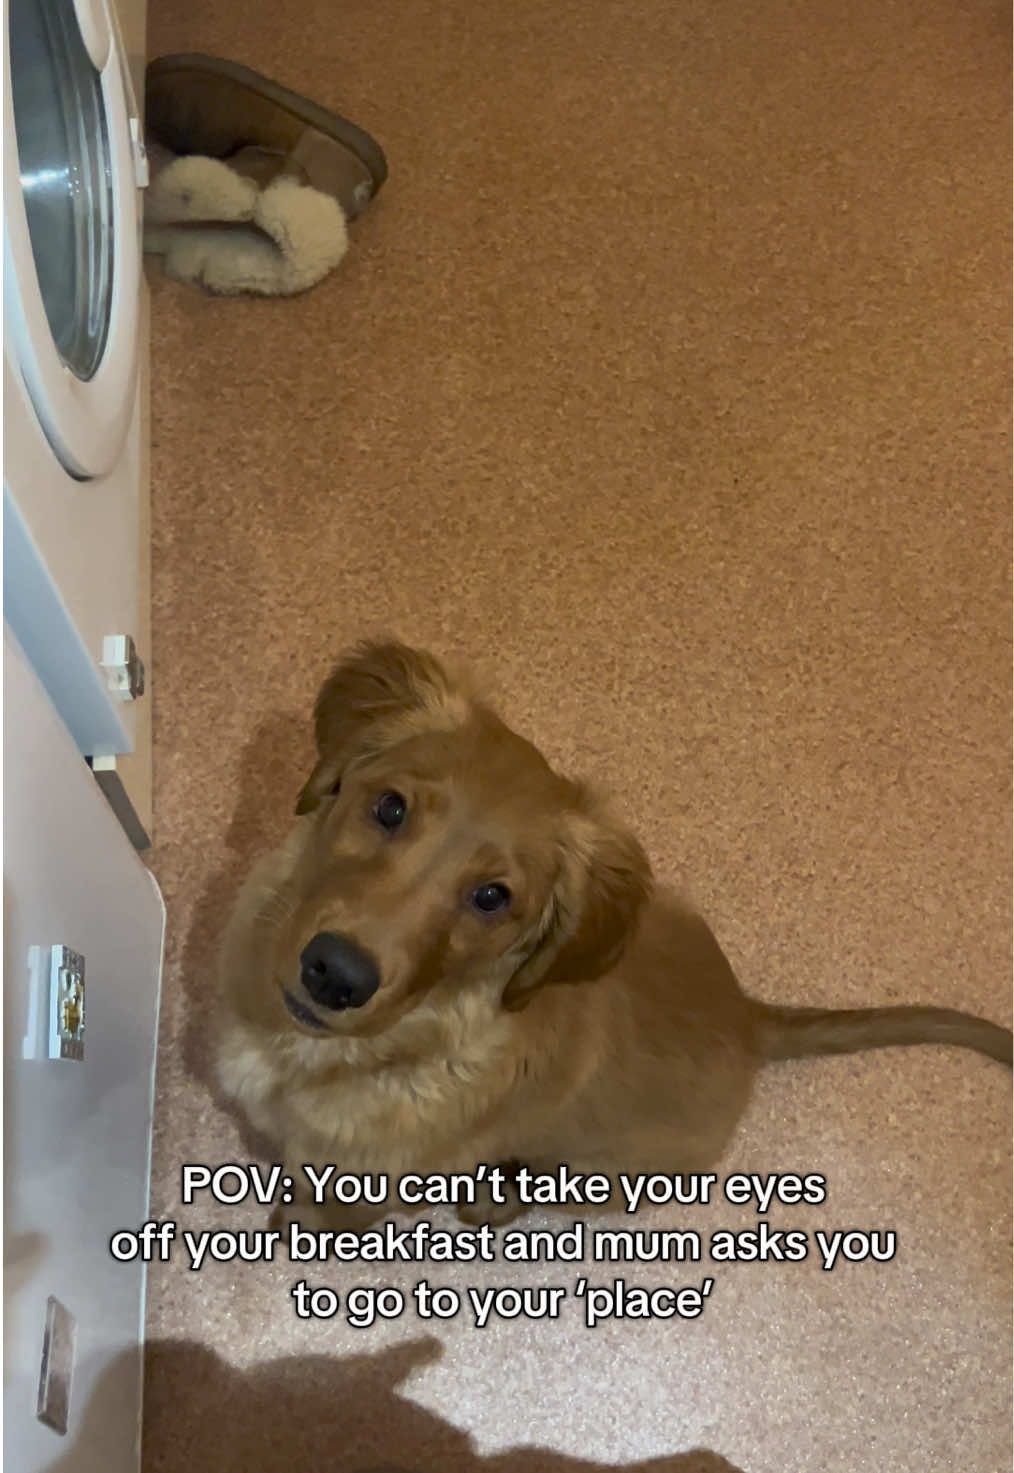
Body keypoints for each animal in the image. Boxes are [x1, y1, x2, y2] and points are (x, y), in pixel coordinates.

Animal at [215, 639, 1014, 1225]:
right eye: (389, 807)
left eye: (491, 897)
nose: (335, 973)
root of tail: (749, 1017)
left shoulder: (374, 1183)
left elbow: (329, 1209)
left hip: (614, 1168)